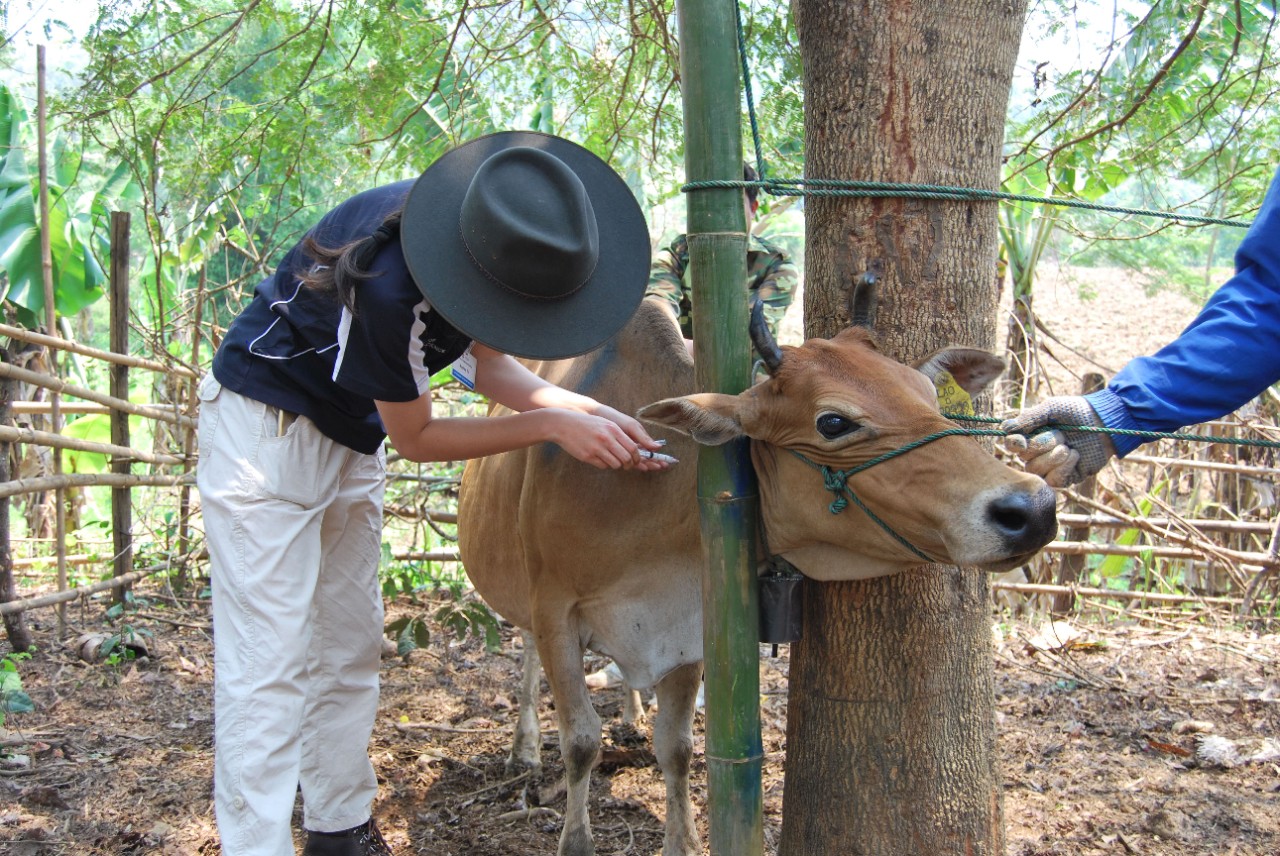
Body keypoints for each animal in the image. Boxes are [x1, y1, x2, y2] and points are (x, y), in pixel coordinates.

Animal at [457, 284, 1057, 856]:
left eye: (931, 396)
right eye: (833, 422)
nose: (1032, 507)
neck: (648, 497)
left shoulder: (685, 626)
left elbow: (677, 748)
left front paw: (683, 840)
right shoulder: (555, 609)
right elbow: (581, 741)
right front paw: (576, 838)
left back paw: (630, 709)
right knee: (528, 658)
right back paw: (524, 747)